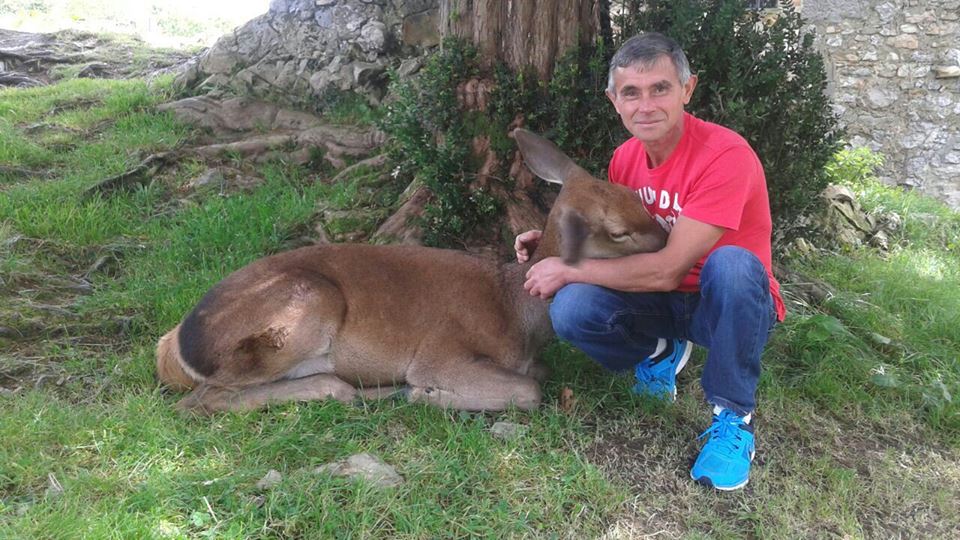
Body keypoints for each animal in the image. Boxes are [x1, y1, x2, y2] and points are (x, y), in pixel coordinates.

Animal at [155, 129, 667, 414]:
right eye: (618, 232)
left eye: (636, 196)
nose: (667, 242)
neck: (518, 317)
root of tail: (174, 344)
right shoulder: (441, 352)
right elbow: (529, 390)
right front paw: (430, 396)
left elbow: (537, 375)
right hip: (306, 302)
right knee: (199, 402)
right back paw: (351, 389)